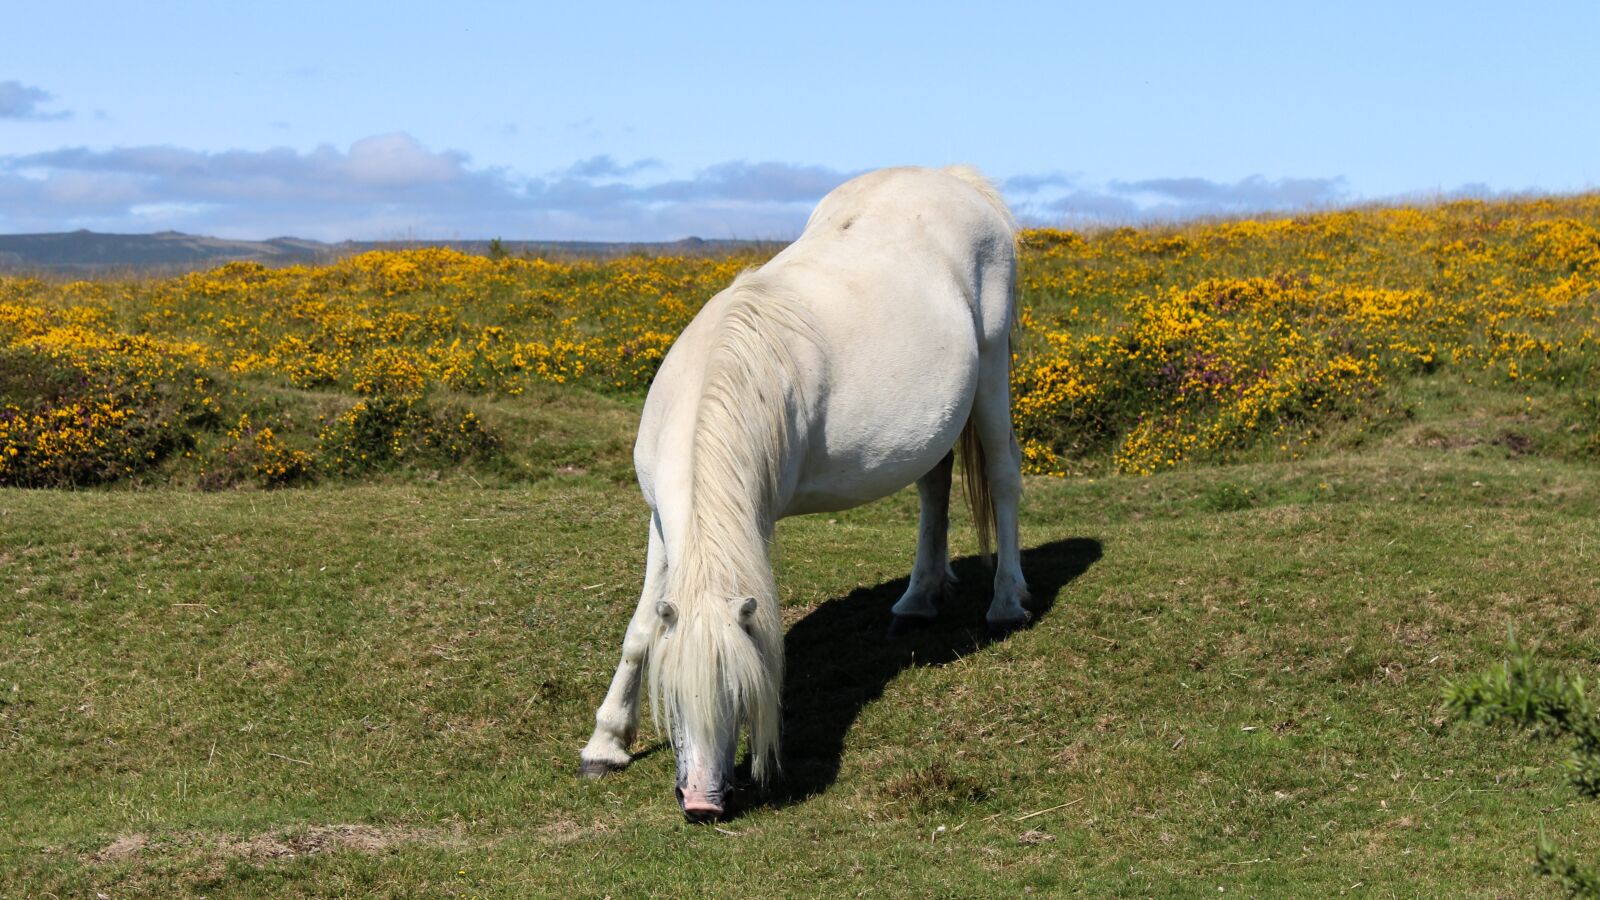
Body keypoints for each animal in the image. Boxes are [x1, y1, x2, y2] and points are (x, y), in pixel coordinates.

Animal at [577, 166, 1029, 821]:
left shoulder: (755, 520)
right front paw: (606, 743)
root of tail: (953, 178)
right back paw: (919, 599)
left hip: (992, 375)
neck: (713, 391)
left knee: (1003, 478)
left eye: (739, 697)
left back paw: (1007, 602)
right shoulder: (662, 520)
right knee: (934, 489)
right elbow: (640, 631)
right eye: (674, 700)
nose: (703, 803)